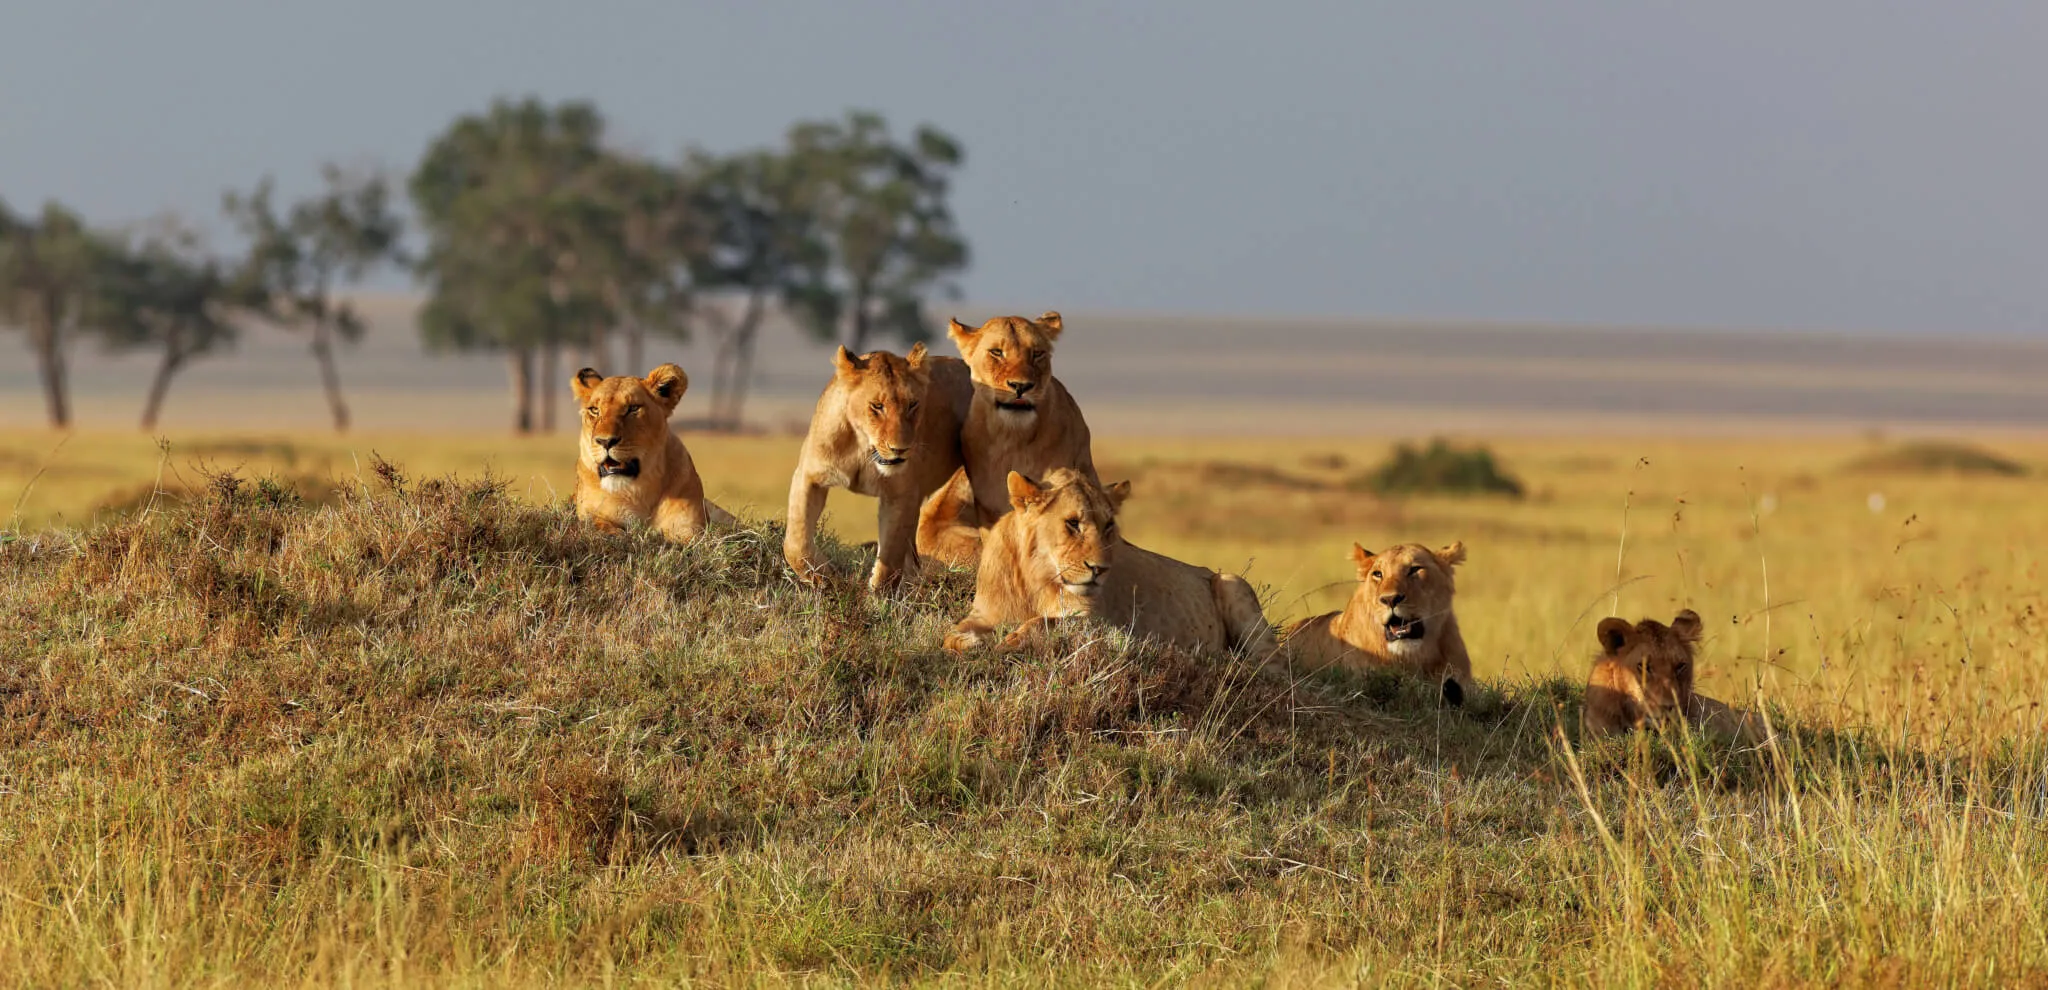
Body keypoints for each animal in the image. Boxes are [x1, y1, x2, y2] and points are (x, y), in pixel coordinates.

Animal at [571, 363, 733, 541]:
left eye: (633, 408)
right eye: (594, 410)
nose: (605, 441)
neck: (640, 493)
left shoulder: (691, 528)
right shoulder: (591, 514)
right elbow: (601, 525)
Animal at [783, 342, 975, 590]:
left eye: (913, 405)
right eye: (877, 406)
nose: (900, 449)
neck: (863, 449)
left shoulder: (901, 494)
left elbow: (891, 557)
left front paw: (878, 595)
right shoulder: (809, 476)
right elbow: (796, 542)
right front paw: (823, 577)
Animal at [941, 468, 1276, 658]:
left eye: (1108, 526)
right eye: (1073, 524)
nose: (1100, 570)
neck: (1036, 579)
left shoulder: (1100, 623)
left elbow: (1044, 622)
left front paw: (1010, 641)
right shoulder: (983, 614)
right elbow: (952, 634)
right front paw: (971, 642)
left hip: (1233, 583)